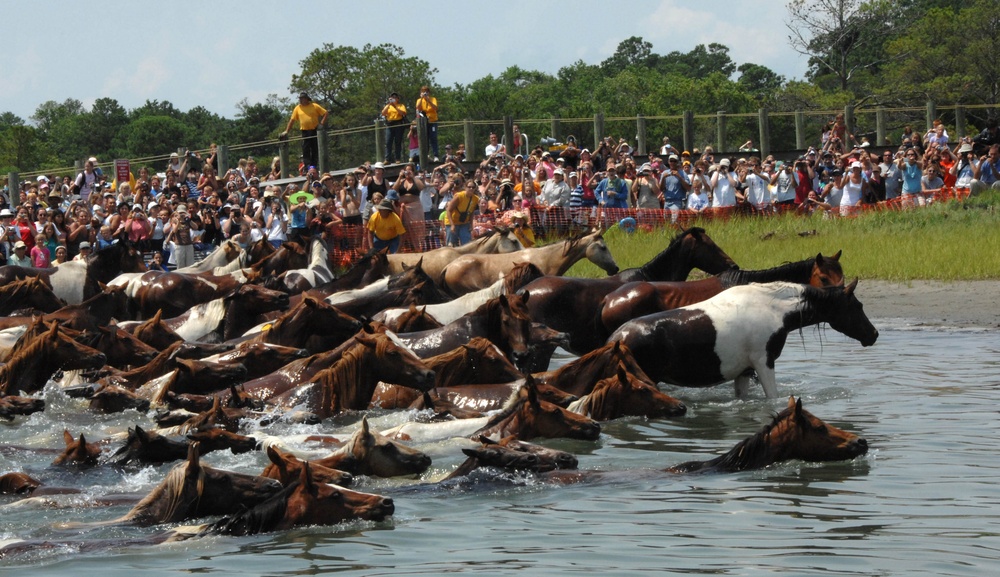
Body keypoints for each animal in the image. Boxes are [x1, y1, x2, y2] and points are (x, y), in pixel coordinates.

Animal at [604, 280, 880, 396]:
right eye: (857, 306)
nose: (874, 335)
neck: (772, 307)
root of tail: (617, 337)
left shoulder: (744, 372)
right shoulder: (763, 363)